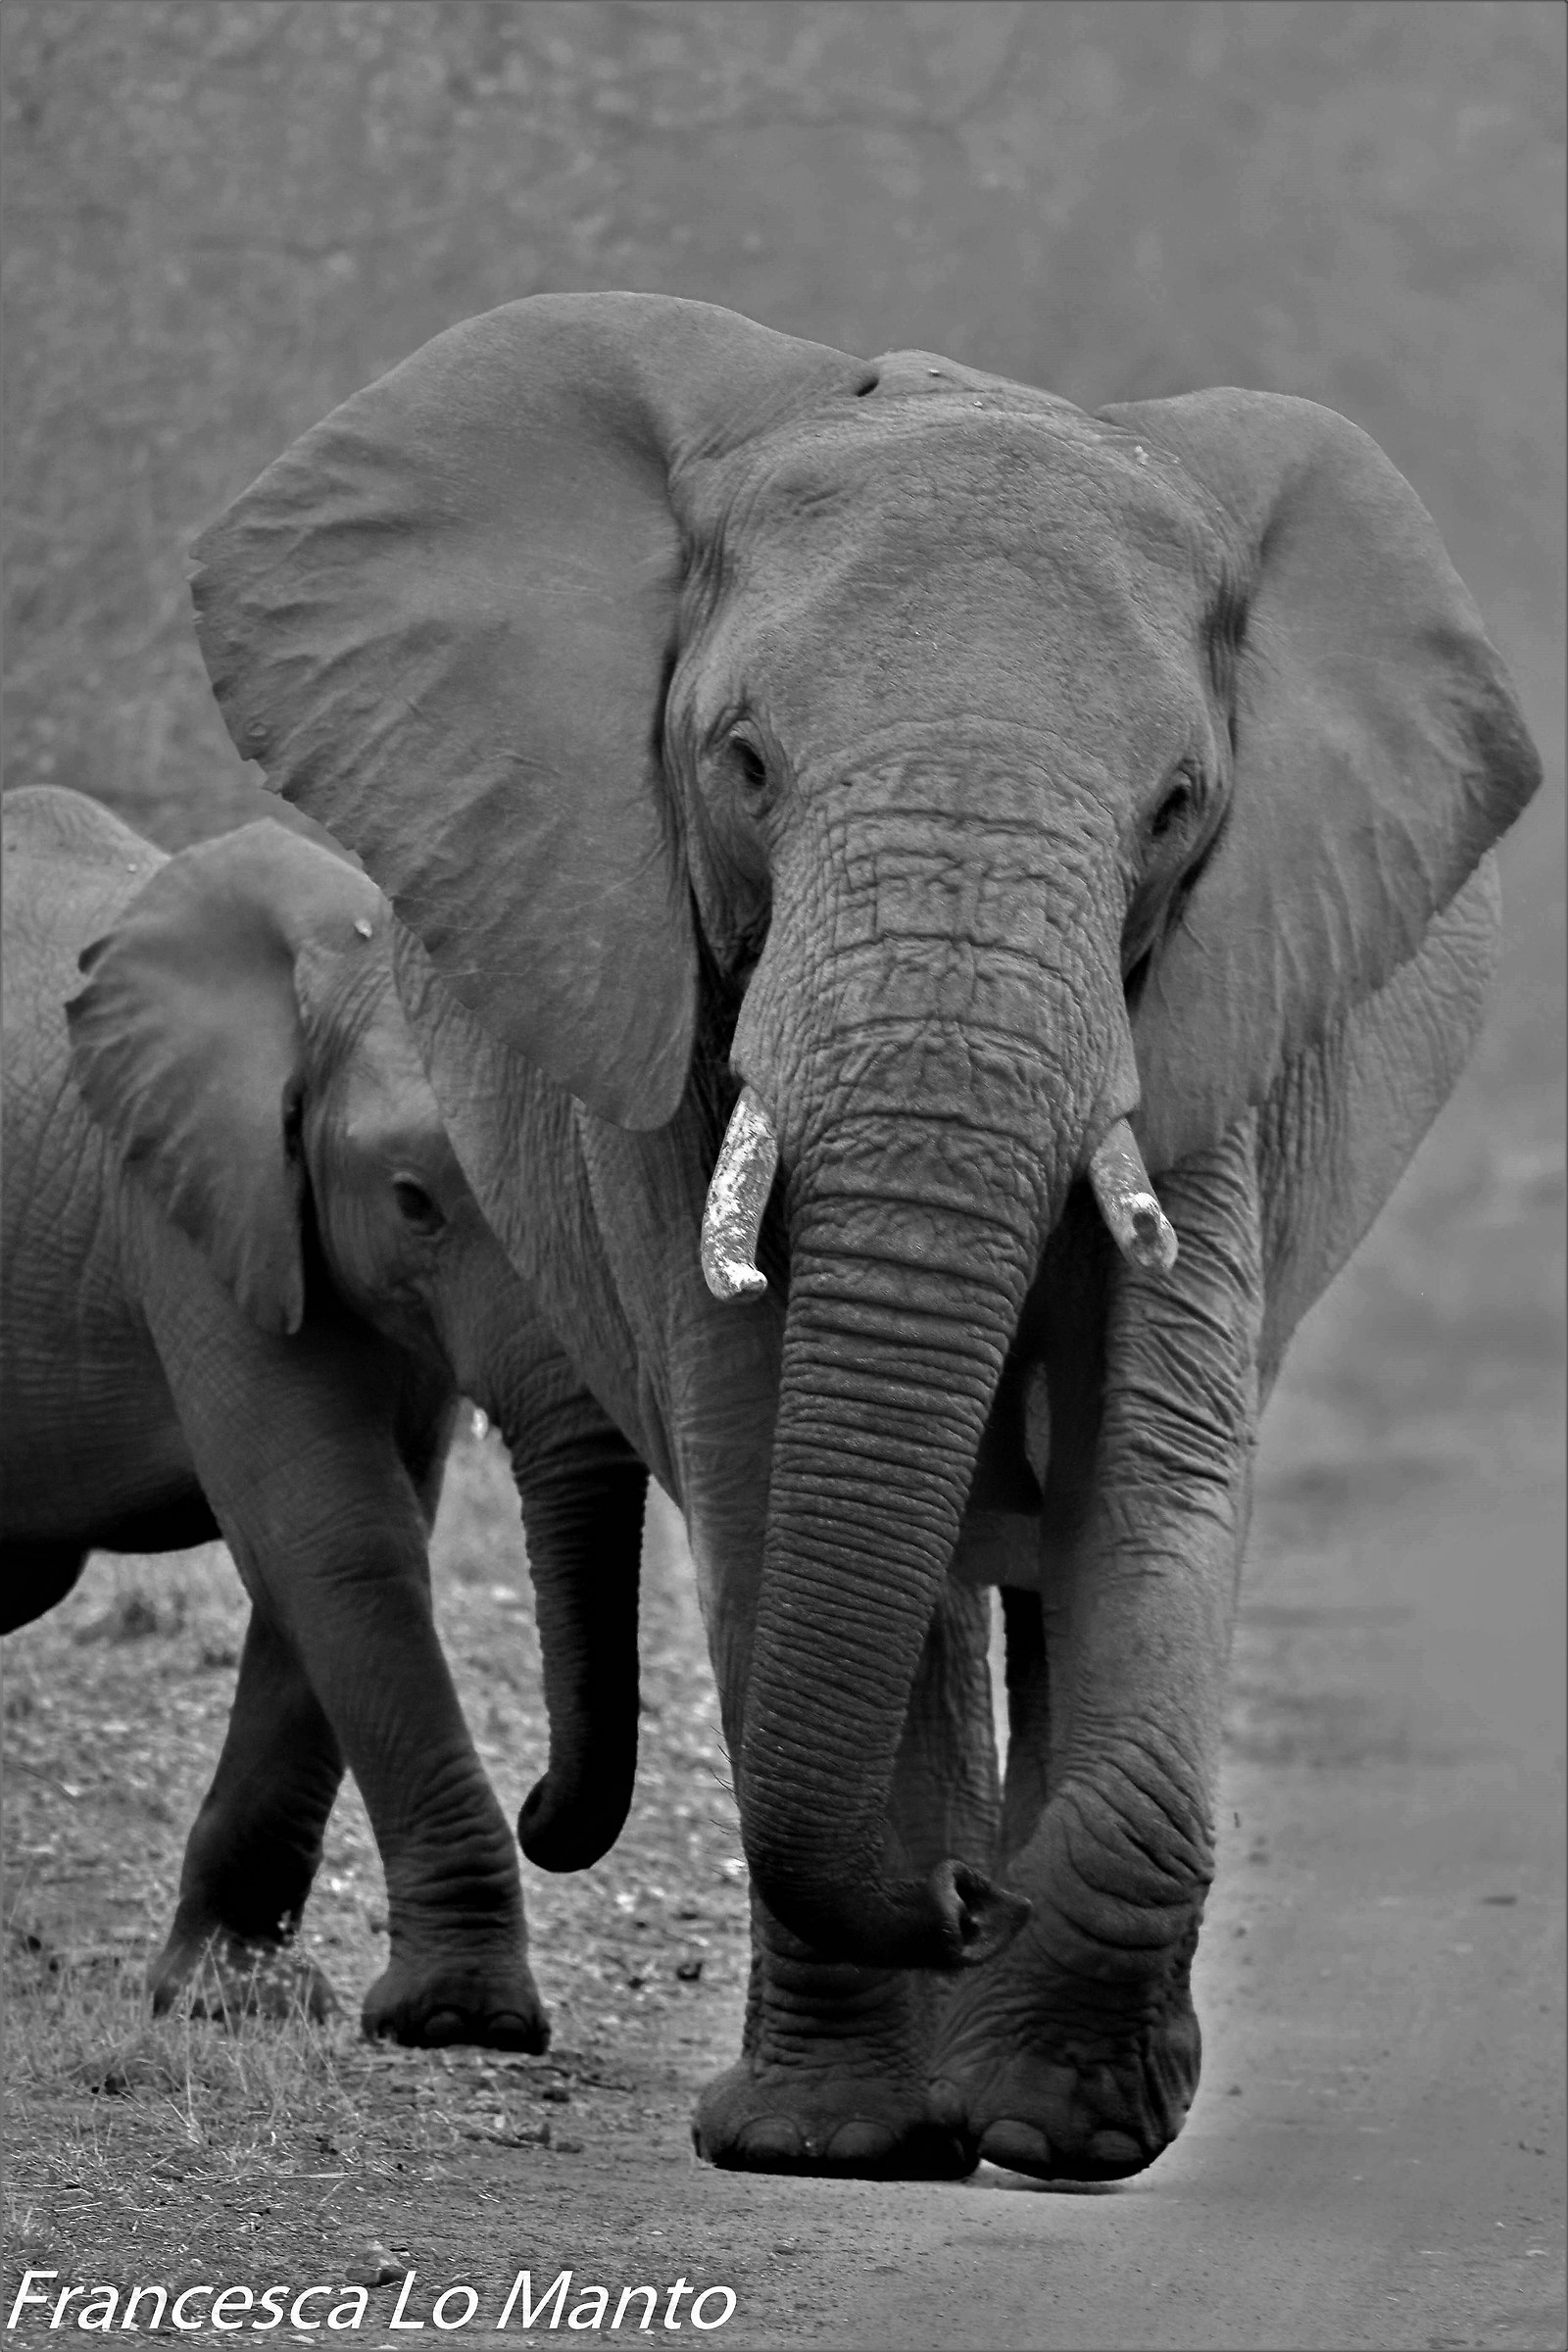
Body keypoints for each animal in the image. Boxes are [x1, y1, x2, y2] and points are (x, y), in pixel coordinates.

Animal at [0, 783, 648, 2047]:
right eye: (414, 1202)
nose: (545, 1809)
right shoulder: (189, 1208)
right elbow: (336, 1532)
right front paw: (458, 2019)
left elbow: (343, 1547)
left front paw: (233, 1998)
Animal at [184, 293, 1540, 2180]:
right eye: (743, 761)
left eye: (1179, 808)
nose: (965, 1904)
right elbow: (764, 1448)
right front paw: (833, 2139)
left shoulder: (1220, 1003)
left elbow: (1148, 1457)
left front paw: (1065, 2125)